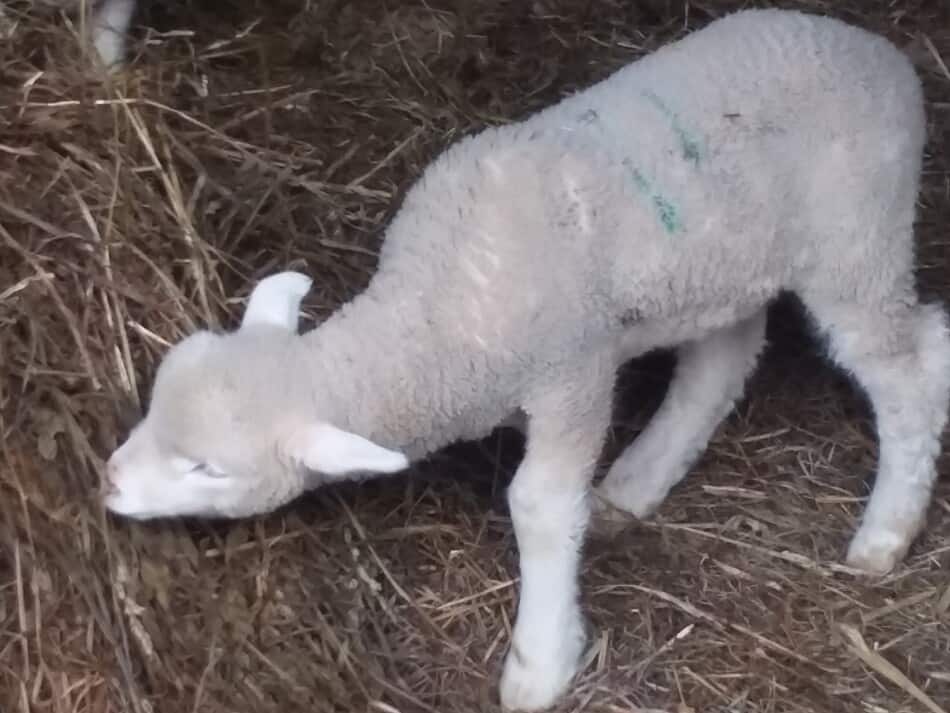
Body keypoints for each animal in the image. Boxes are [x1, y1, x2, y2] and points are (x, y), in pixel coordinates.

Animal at [102, 8, 950, 708]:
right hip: (718, 266)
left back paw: (885, 530)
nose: (108, 481)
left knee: (906, 365)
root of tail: (879, 51)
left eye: (209, 469)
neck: (431, 318)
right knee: (728, 359)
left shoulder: (573, 372)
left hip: (855, 237)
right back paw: (634, 485)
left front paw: (541, 662)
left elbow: (539, 505)